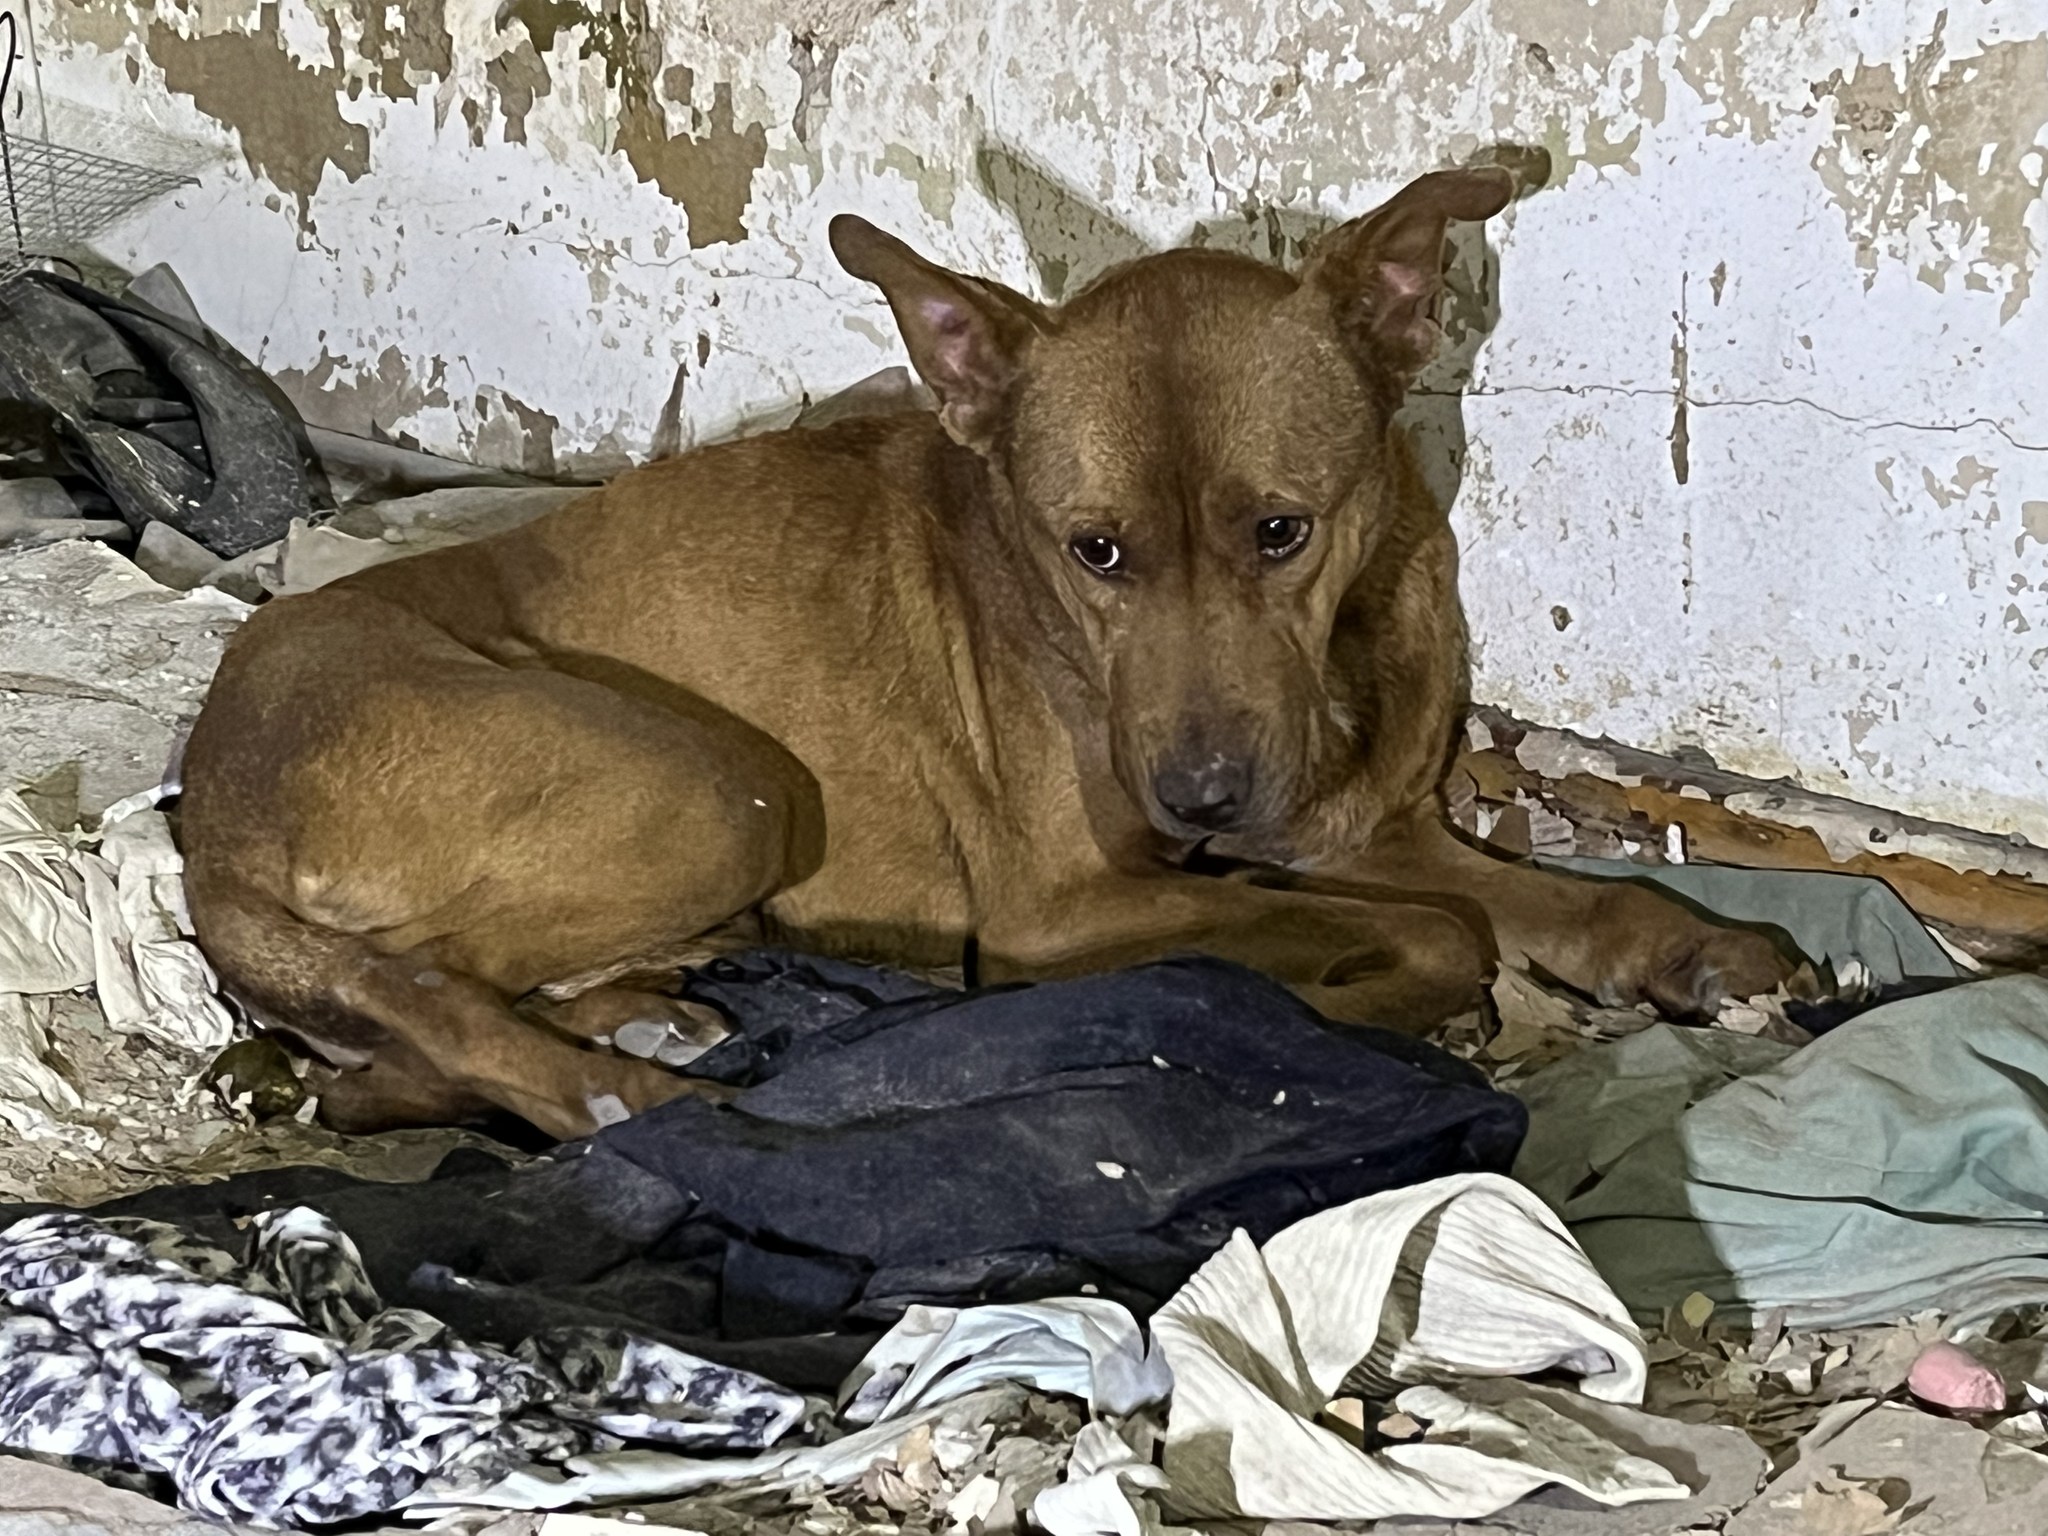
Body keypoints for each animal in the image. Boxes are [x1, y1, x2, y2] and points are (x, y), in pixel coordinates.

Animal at [180, 167, 1794, 1138]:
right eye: (1096, 551)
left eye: (1281, 531)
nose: (1202, 798)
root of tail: (213, 809)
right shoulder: (1064, 908)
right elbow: (1434, 933)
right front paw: (1333, 1002)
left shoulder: (1354, 827)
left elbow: (1548, 899)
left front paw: (1686, 945)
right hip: (711, 791)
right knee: (412, 991)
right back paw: (588, 1086)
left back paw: (630, 1011)